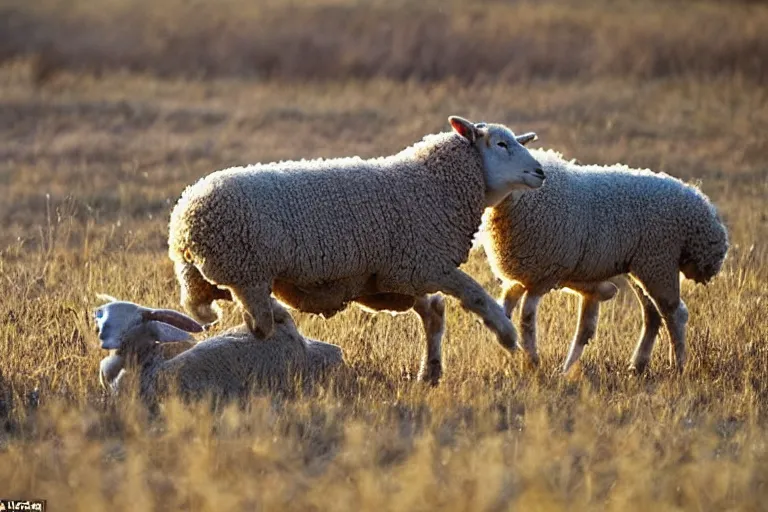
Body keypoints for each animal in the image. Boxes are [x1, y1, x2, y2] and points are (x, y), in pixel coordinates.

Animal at [166, 114, 544, 382]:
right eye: (501, 144)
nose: (540, 172)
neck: (432, 184)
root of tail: (185, 217)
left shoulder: (399, 275)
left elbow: (434, 311)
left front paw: (432, 371)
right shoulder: (424, 264)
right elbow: (475, 294)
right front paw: (507, 335)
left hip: (209, 278)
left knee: (215, 311)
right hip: (247, 272)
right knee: (261, 324)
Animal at [480, 144, 728, 372]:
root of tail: (700, 206)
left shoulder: (542, 278)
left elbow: (527, 320)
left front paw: (532, 362)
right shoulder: (520, 279)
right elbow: (504, 312)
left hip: (659, 262)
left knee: (675, 313)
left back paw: (677, 366)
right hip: (641, 268)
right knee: (653, 315)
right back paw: (637, 366)